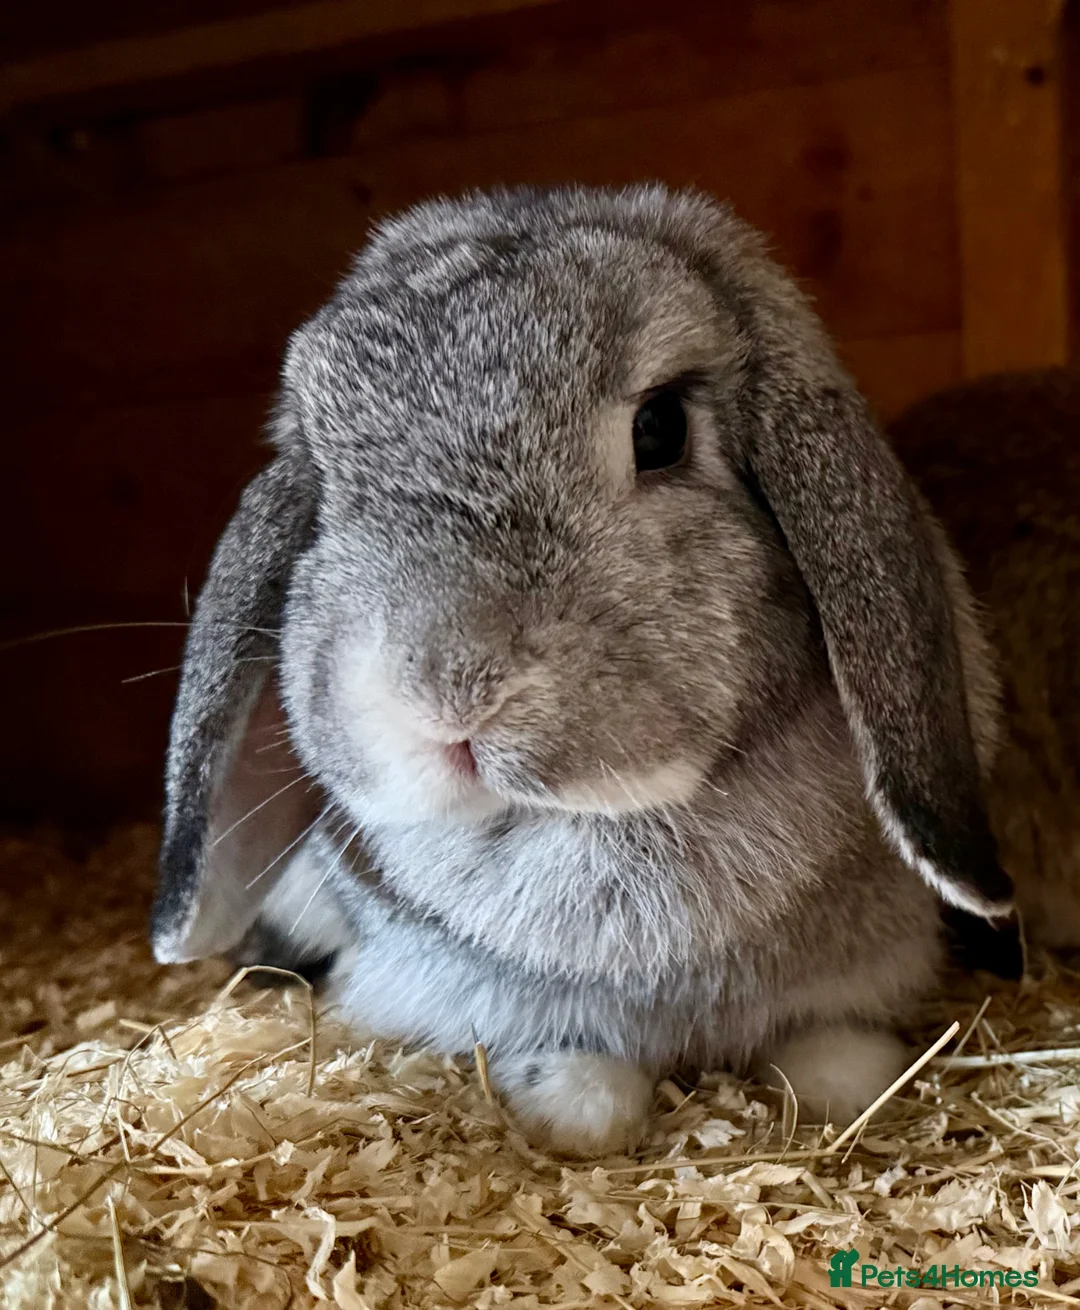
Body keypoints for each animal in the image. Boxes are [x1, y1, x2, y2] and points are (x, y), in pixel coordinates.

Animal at [150, 185, 1016, 1157]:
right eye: (325, 481)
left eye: (661, 427)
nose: (447, 697)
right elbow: (591, 1093)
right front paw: (564, 1099)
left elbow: (840, 1066)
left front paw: (834, 1079)